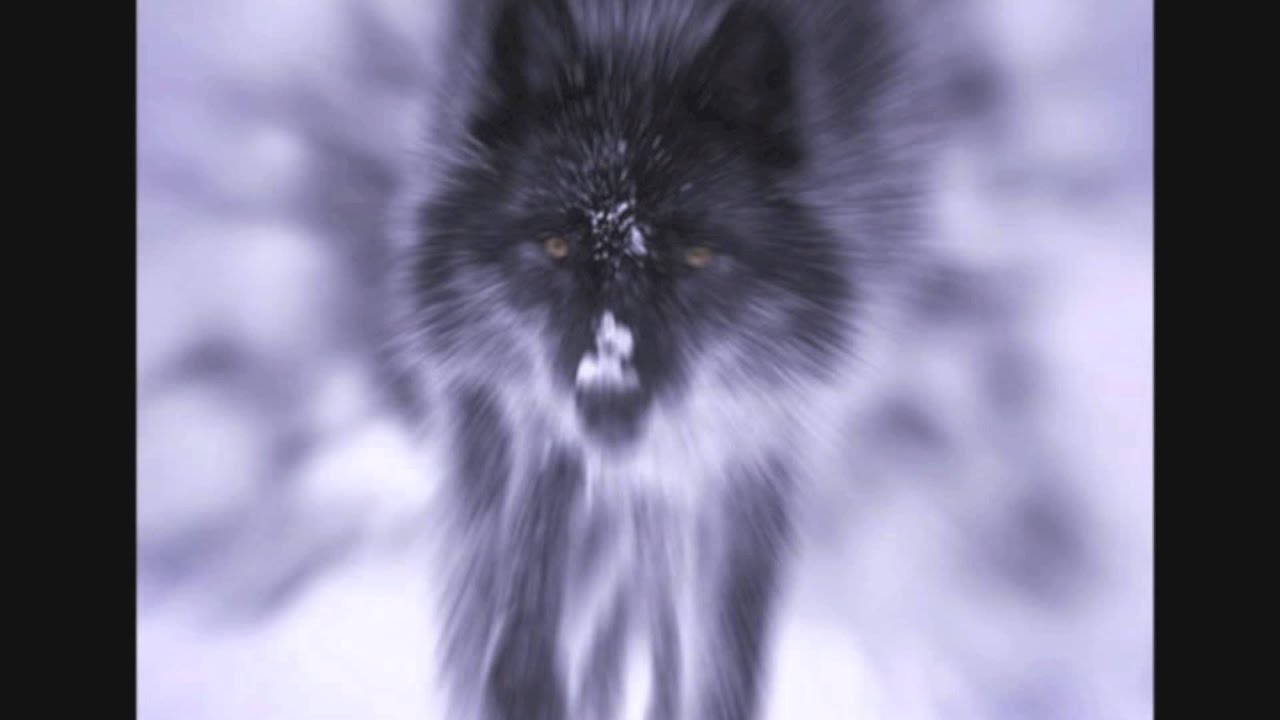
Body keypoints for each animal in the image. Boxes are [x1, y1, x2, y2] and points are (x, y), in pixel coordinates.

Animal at [388, 0, 934, 717]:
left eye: (697, 257)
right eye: (558, 246)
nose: (610, 396)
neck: (644, 34)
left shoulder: (758, 444)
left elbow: (723, 663)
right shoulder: (539, 421)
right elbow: (523, 617)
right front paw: (521, 681)